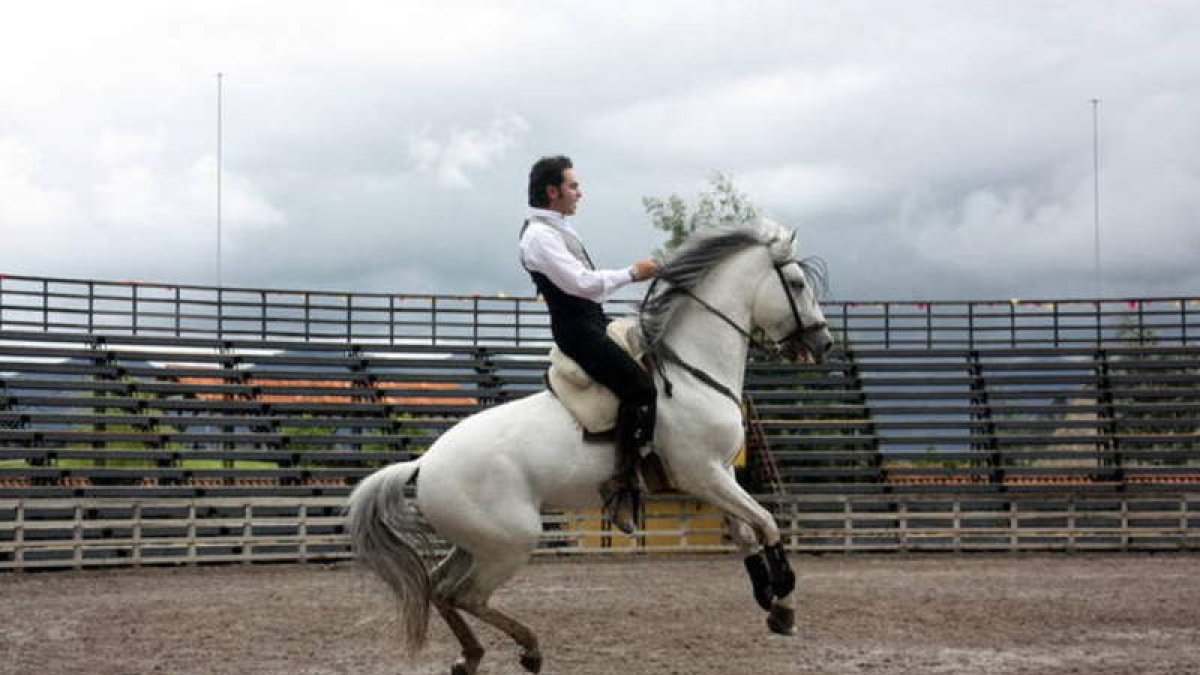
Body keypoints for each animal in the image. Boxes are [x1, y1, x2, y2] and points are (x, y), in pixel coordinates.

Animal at [348, 218, 835, 667]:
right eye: (795, 283)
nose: (823, 341)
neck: (692, 374)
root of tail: (424, 463)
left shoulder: (717, 474)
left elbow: (746, 532)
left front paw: (767, 599)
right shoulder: (702, 474)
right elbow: (767, 523)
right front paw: (784, 603)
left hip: (474, 543)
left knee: (440, 587)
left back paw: (472, 654)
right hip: (509, 543)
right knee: (465, 594)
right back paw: (528, 648)